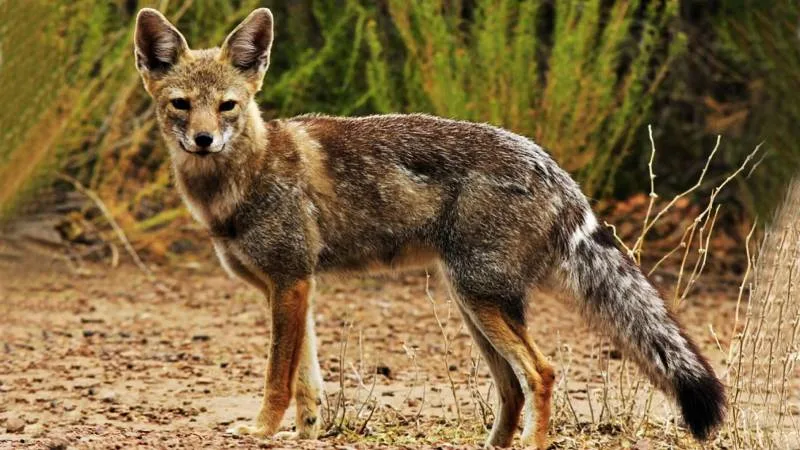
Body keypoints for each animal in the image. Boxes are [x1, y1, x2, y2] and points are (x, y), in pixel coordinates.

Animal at [133, 7, 725, 449]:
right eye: (181, 105)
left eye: (227, 106)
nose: (204, 140)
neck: (243, 179)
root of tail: (557, 171)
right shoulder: (291, 287)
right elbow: (307, 382)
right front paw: (305, 432)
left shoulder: (290, 283)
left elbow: (277, 378)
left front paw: (260, 429)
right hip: (473, 305)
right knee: (512, 388)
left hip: (480, 300)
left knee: (541, 373)